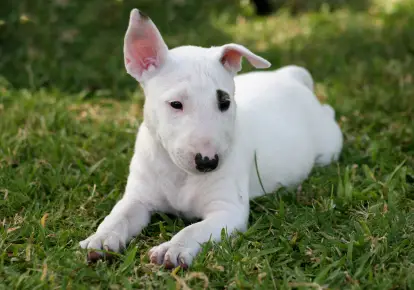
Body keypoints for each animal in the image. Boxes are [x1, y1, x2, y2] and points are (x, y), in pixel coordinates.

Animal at [80, 8, 342, 268]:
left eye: (225, 103)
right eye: (176, 104)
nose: (208, 162)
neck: (179, 173)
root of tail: (289, 76)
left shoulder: (227, 211)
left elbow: (194, 229)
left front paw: (173, 249)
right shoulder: (138, 197)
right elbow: (118, 216)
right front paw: (101, 239)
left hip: (328, 144)